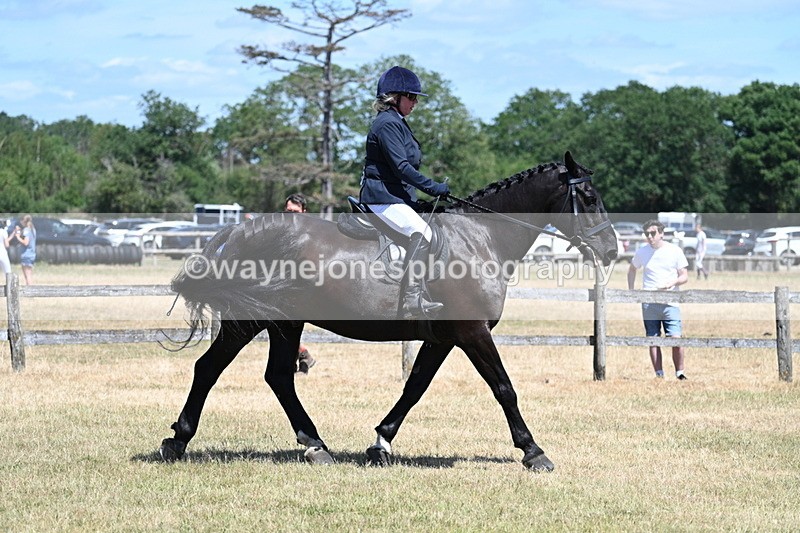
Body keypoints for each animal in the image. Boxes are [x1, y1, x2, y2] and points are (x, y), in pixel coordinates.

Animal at [159, 151, 618, 471]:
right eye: (589, 197)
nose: (612, 250)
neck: (481, 237)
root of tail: (241, 229)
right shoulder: (472, 332)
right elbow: (504, 387)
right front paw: (533, 451)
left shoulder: (445, 337)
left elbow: (414, 387)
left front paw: (381, 442)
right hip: (249, 320)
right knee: (210, 368)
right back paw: (177, 442)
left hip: (284, 322)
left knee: (276, 377)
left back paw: (315, 446)